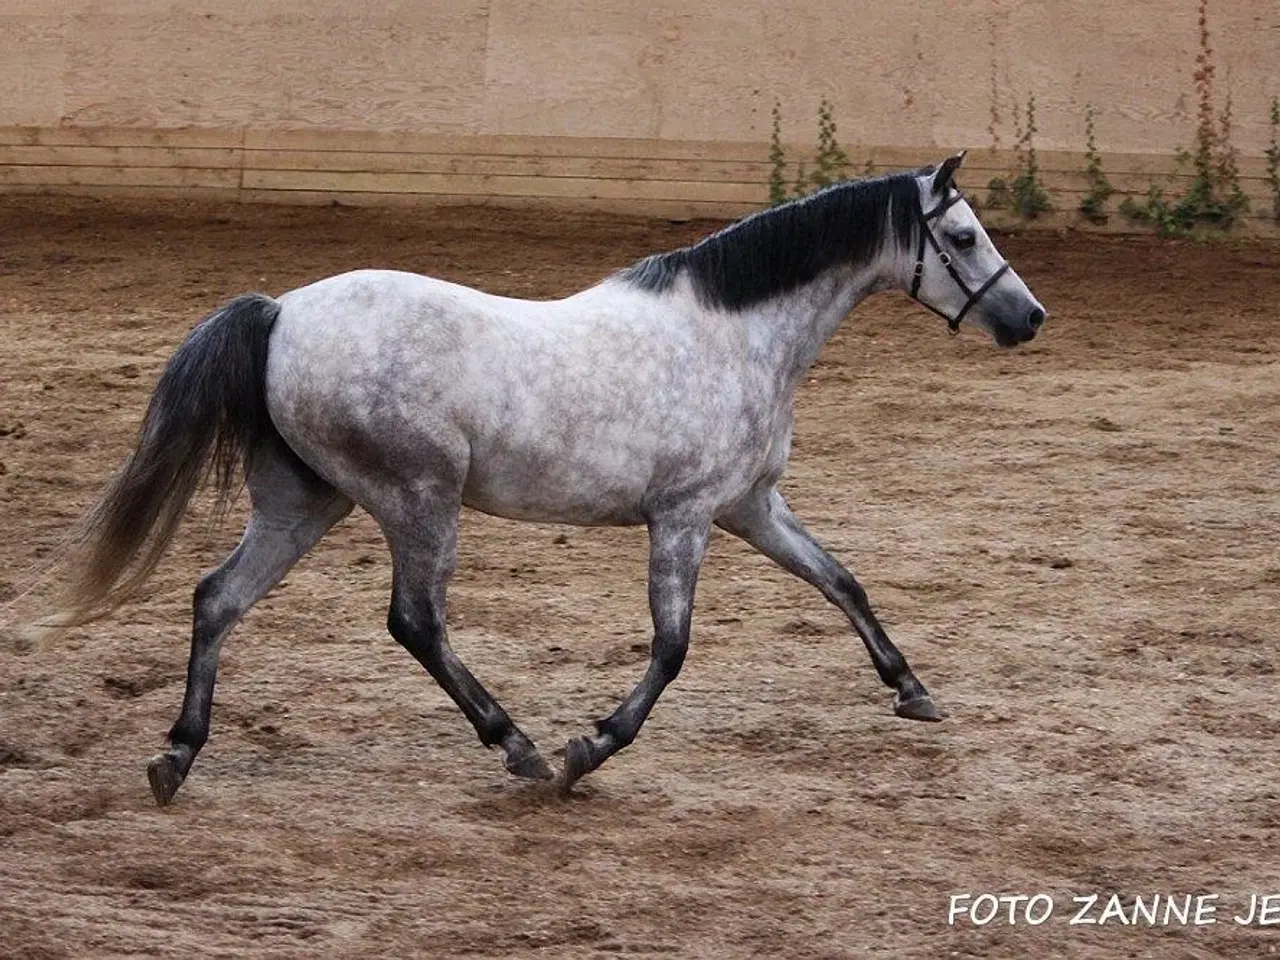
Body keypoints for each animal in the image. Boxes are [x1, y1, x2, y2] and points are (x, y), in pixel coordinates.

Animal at [47, 154, 1049, 808]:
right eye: (963, 234)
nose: (1029, 317)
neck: (735, 334)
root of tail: (282, 311)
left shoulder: (750, 508)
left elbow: (841, 580)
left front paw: (912, 691)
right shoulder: (684, 516)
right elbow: (672, 647)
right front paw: (587, 750)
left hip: (306, 504)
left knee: (217, 598)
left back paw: (176, 758)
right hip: (419, 499)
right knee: (414, 622)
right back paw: (520, 749)